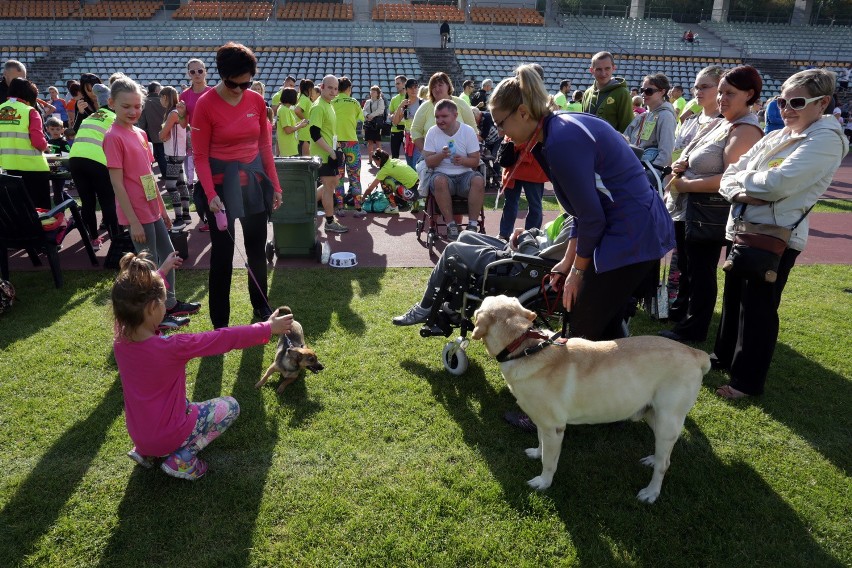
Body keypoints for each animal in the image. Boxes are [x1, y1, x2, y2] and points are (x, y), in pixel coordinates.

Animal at [470, 296, 708, 504]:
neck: (526, 348)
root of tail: (696, 353)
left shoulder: (554, 428)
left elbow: (549, 461)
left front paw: (543, 482)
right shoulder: (542, 421)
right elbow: (540, 442)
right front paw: (537, 452)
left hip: (668, 419)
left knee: (664, 463)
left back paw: (651, 492)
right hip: (652, 414)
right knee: (664, 454)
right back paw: (652, 458)